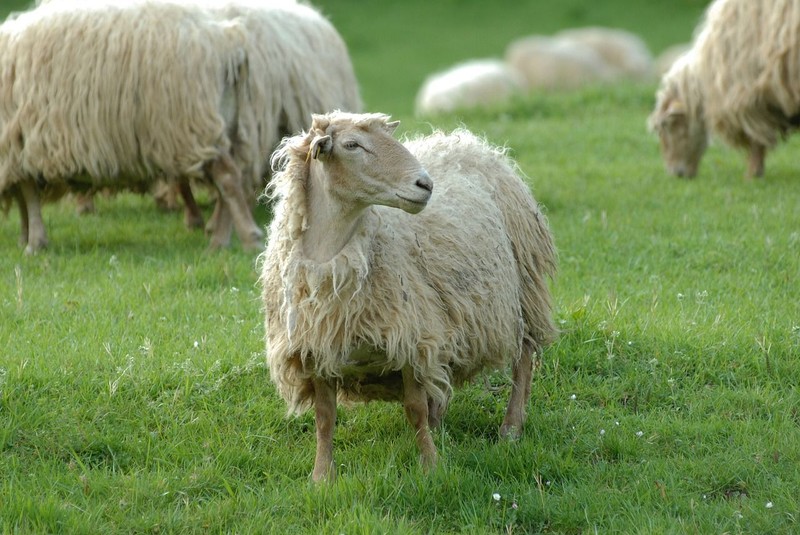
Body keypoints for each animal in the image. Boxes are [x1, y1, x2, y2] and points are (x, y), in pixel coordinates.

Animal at [0, 0, 262, 253]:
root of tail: (227, 42)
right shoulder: (14, 152)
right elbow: (22, 198)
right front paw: (25, 238)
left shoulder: (18, 147)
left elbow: (28, 196)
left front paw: (34, 243)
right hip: (220, 124)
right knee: (232, 178)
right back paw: (221, 239)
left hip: (190, 125)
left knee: (227, 177)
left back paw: (247, 239)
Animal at [260, 112, 560, 482]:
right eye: (352, 144)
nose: (425, 184)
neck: (329, 260)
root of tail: (466, 141)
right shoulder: (315, 346)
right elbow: (325, 418)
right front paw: (321, 477)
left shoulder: (411, 339)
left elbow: (414, 409)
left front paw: (431, 467)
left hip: (522, 289)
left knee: (524, 356)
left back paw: (511, 427)